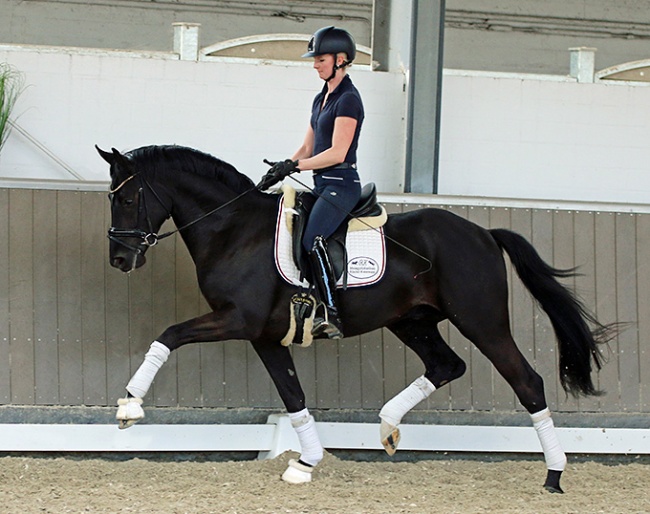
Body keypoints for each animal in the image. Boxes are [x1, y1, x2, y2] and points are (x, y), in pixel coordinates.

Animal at [96, 144, 612, 492]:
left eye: (126, 199)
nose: (119, 259)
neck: (235, 230)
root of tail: (483, 232)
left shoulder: (238, 320)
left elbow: (169, 334)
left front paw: (129, 406)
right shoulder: (265, 335)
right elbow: (293, 396)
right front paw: (305, 462)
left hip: (481, 321)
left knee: (527, 382)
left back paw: (553, 475)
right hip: (412, 321)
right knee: (446, 365)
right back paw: (387, 427)